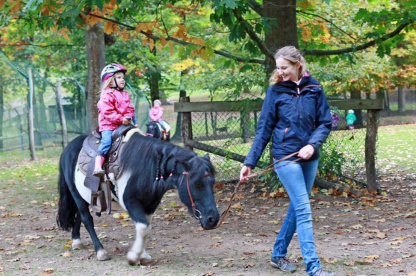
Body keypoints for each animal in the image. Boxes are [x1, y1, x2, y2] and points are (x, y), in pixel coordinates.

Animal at [56, 134, 219, 266]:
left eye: (212, 182)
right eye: (197, 184)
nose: (213, 219)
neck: (147, 168)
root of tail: (68, 148)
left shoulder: (150, 205)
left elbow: (146, 228)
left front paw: (143, 256)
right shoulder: (131, 203)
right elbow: (143, 227)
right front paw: (134, 257)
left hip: (84, 197)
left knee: (79, 216)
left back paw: (76, 241)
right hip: (75, 193)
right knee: (86, 218)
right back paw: (100, 251)